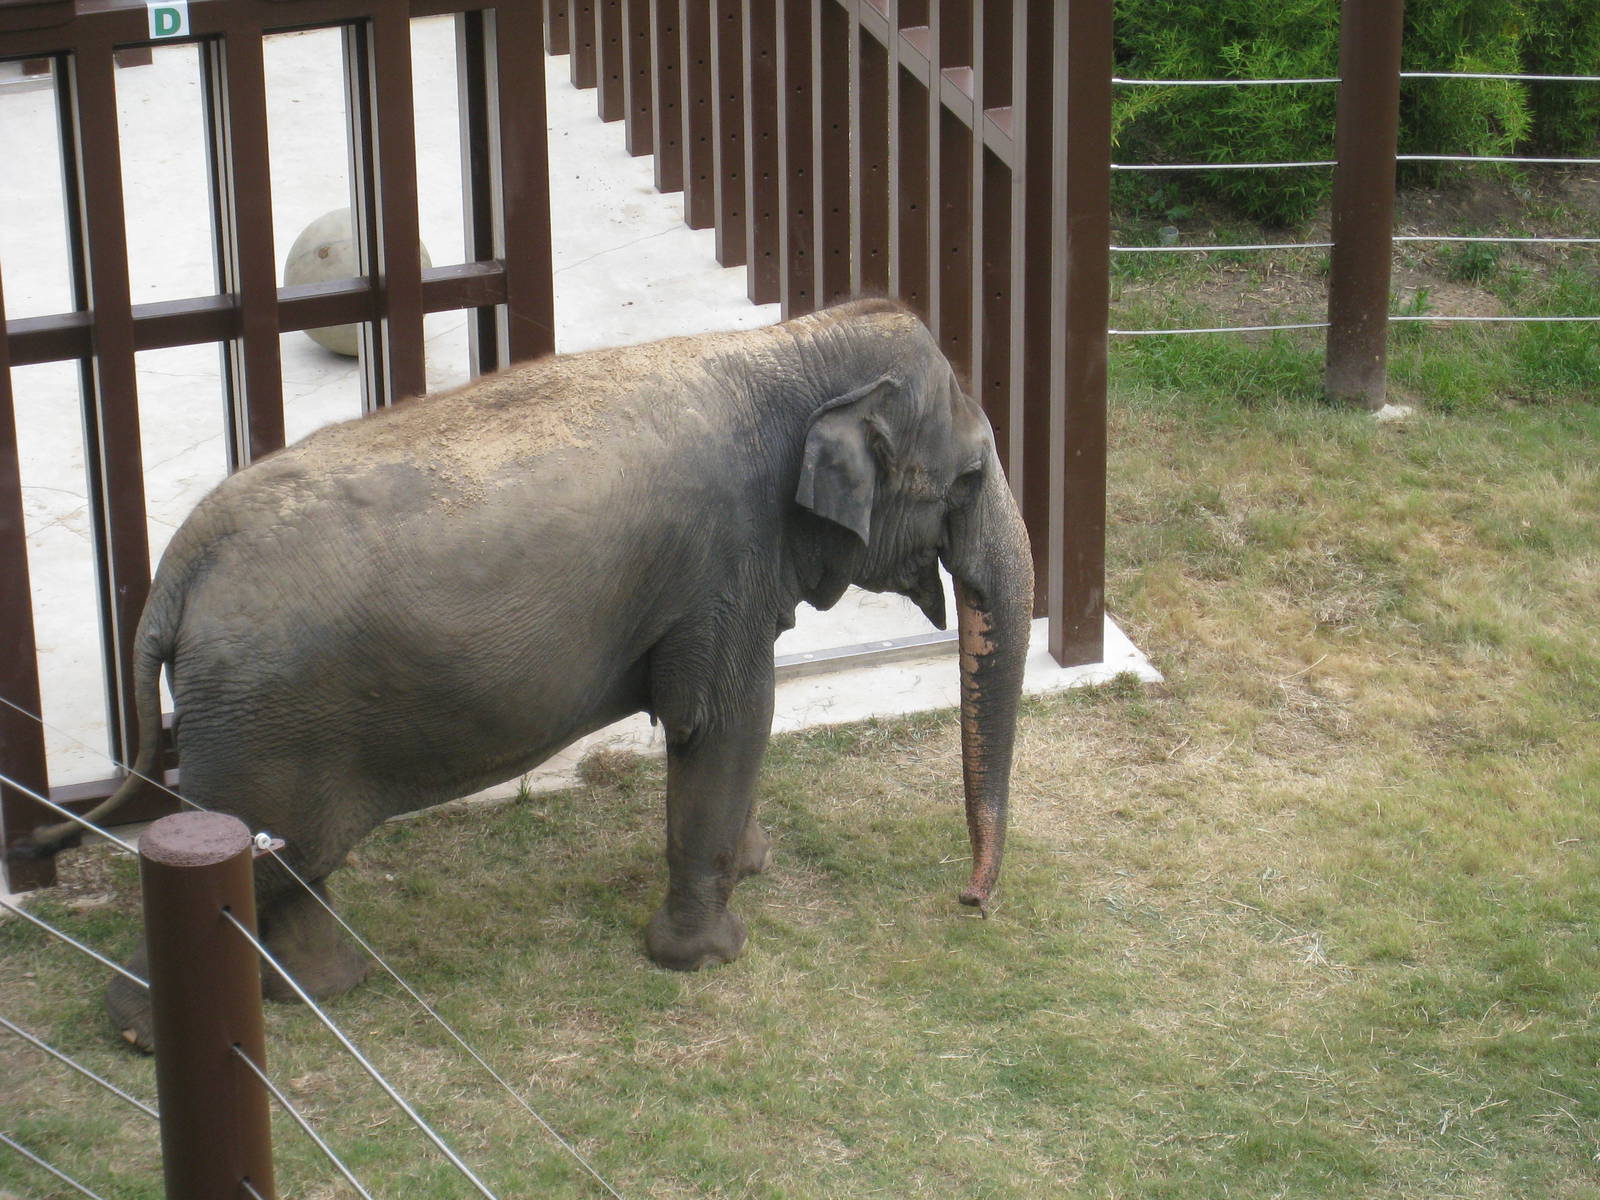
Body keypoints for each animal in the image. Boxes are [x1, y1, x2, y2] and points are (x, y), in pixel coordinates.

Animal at [24, 298, 1034, 1051]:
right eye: (970, 479)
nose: (973, 902)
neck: (788, 346)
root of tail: (176, 574)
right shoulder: (721, 571)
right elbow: (727, 722)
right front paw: (708, 958)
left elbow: (733, 731)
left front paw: (754, 868)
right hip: (262, 723)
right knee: (248, 858)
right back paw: (147, 1033)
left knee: (294, 863)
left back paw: (326, 990)